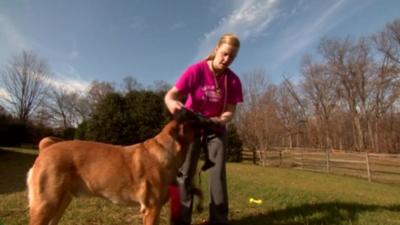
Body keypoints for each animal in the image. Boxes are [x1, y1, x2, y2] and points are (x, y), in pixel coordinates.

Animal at [26, 118, 198, 224]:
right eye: (193, 120)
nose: (202, 116)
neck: (166, 151)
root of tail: (46, 147)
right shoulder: (152, 209)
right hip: (46, 204)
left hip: (60, 203)